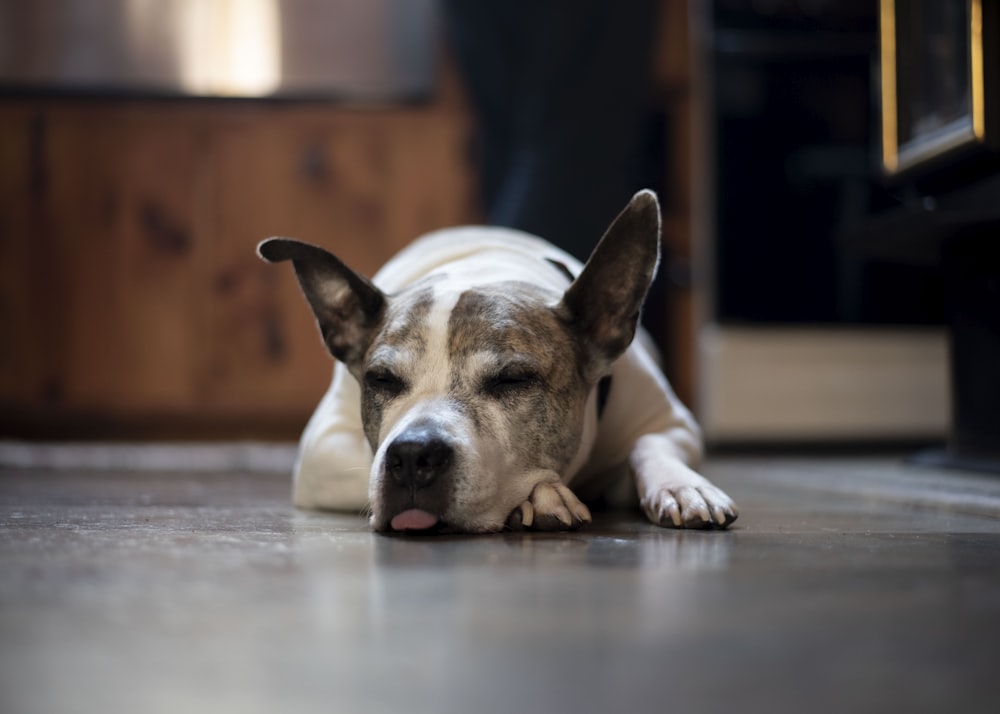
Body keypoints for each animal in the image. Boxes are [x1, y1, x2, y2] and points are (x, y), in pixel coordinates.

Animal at [260, 186, 736, 532]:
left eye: (511, 380)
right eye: (382, 379)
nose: (413, 455)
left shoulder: (673, 423)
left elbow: (650, 444)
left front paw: (683, 486)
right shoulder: (319, 451)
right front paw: (541, 495)